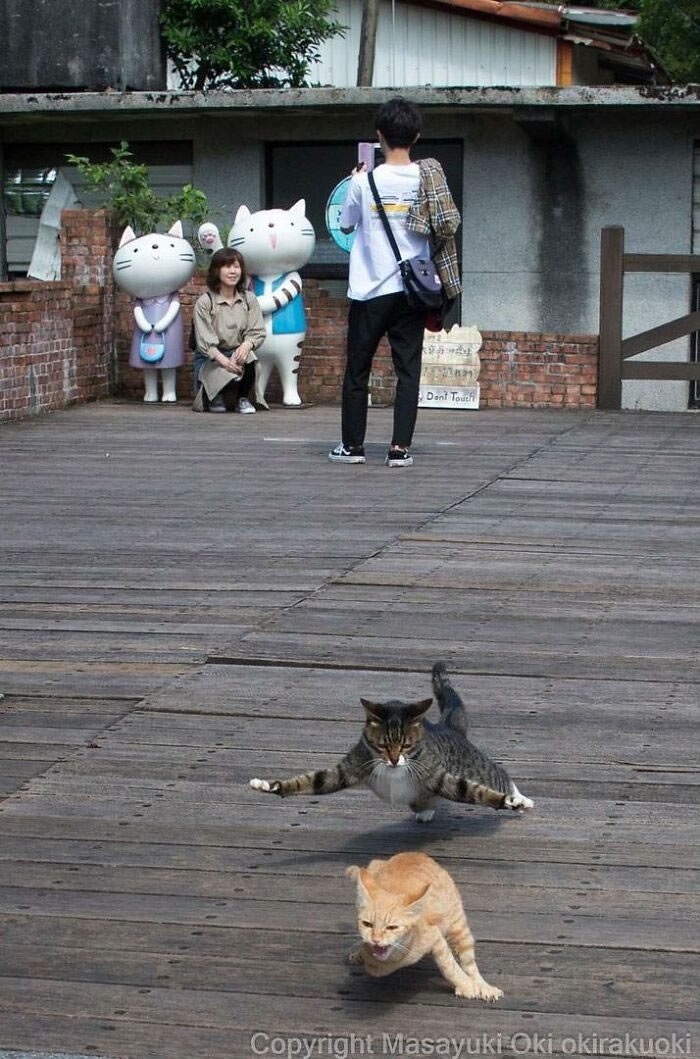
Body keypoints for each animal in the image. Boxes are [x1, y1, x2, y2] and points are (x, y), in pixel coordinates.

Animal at [345, 851, 501, 999]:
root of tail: (416, 854)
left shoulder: (436, 937)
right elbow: (373, 964)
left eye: (392, 927)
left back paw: (483, 986)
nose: (375, 940)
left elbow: (449, 966)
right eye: (367, 924)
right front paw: (363, 954)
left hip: (459, 927)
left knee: (470, 964)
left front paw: (467, 985)